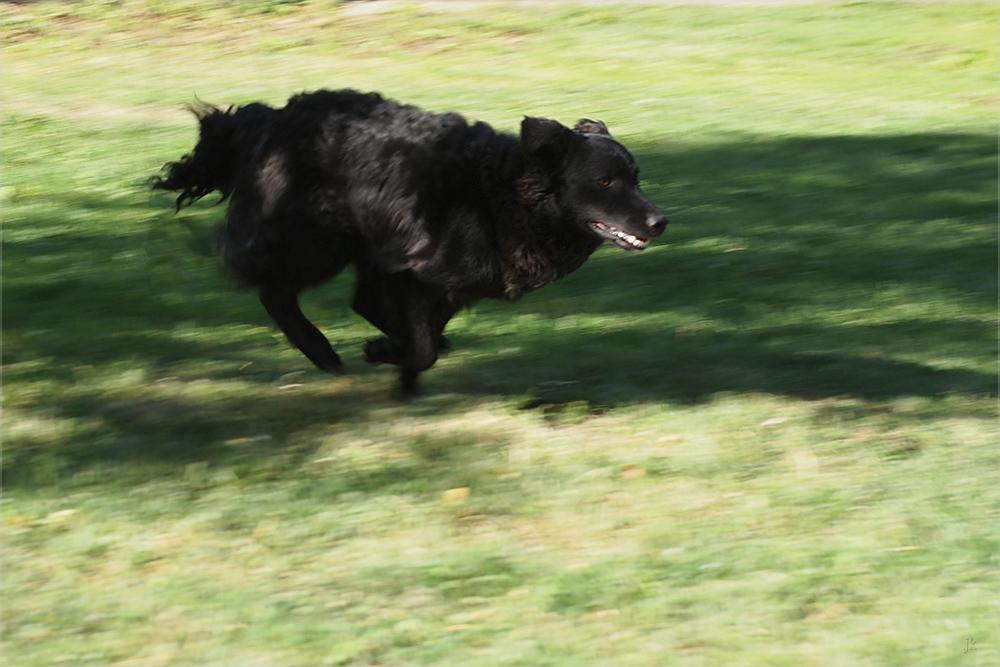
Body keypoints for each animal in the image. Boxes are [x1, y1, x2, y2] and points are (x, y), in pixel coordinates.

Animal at [152, 88, 668, 392]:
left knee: (350, 299)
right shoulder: (411, 271)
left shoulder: (442, 283)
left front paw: (400, 371)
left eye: (637, 177)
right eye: (604, 182)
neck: (499, 192)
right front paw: (385, 354)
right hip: (319, 242)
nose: (660, 221)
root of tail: (262, 120)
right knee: (275, 293)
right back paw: (321, 351)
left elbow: (426, 340)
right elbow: (424, 347)